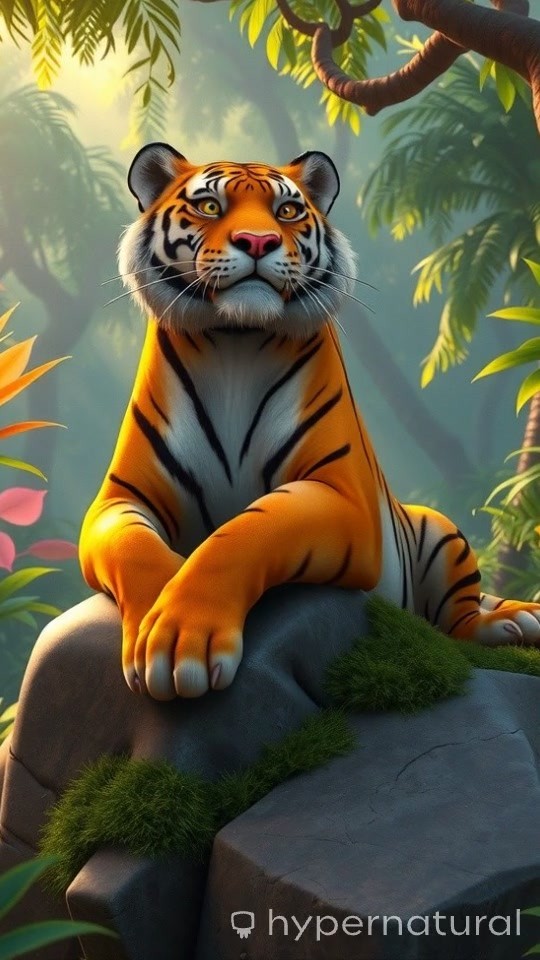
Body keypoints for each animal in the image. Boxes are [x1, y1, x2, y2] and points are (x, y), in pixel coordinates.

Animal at [79, 143, 540, 701]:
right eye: (209, 206)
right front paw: (154, 620)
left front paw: (180, 636)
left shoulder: (339, 494)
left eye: (287, 211)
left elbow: (248, 530)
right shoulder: (119, 499)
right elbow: (137, 549)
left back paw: (509, 624)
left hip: (441, 530)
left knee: (460, 622)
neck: (234, 342)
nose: (258, 241)